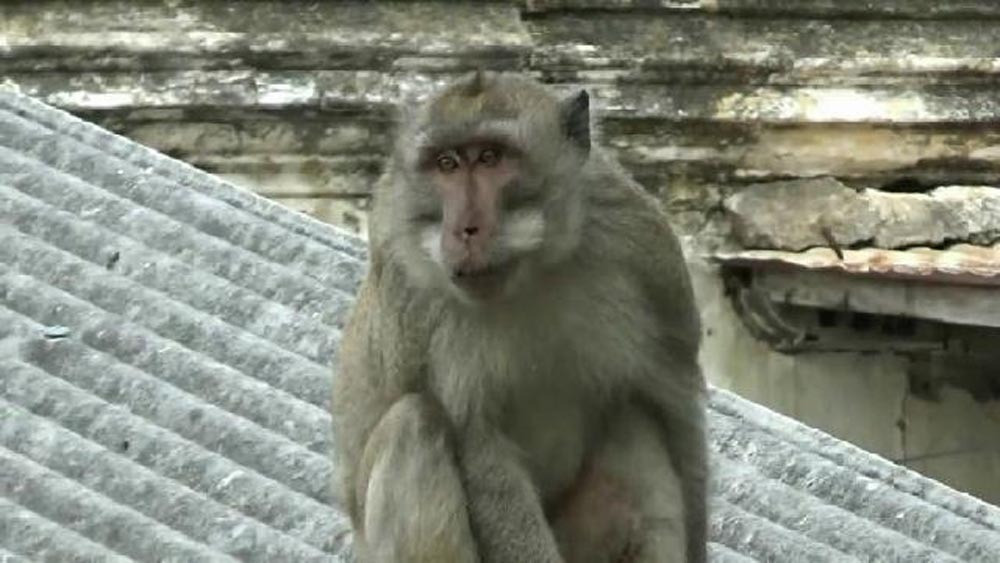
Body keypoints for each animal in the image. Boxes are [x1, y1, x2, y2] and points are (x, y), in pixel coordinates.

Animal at [332, 71, 708, 563]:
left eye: (491, 157)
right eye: (446, 164)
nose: (465, 230)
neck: (531, 272)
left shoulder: (643, 245)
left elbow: (675, 407)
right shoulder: (407, 280)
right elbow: (479, 446)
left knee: (637, 422)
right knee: (414, 424)